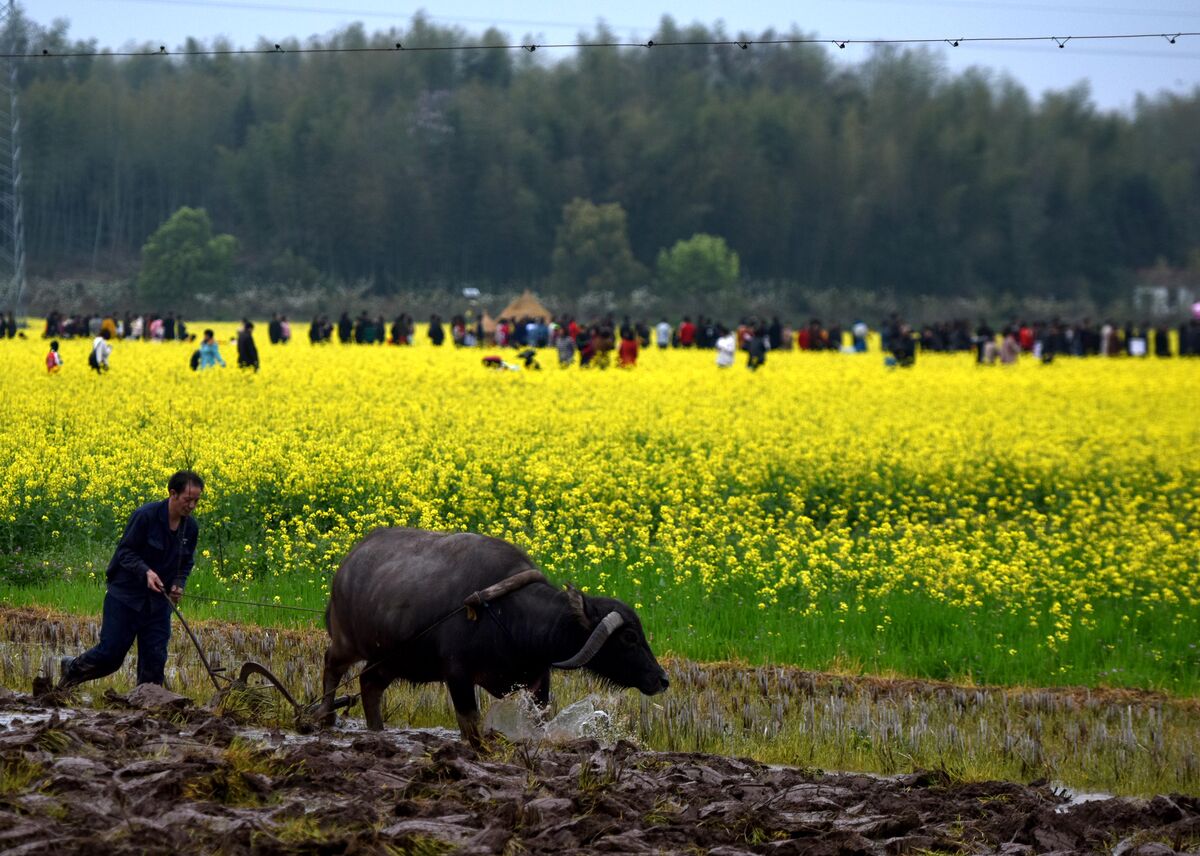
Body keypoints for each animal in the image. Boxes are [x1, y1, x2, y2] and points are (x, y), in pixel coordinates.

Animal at [314, 523, 672, 744]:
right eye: (629, 637)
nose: (662, 679)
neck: (511, 617)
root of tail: (345, 567)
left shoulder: (536, 682)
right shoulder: (457, 675)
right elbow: (470, 726)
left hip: (391, 659)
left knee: (369, 683)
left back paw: (376, 731)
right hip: (347, 642)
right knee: (331, 666)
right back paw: (325, 718)